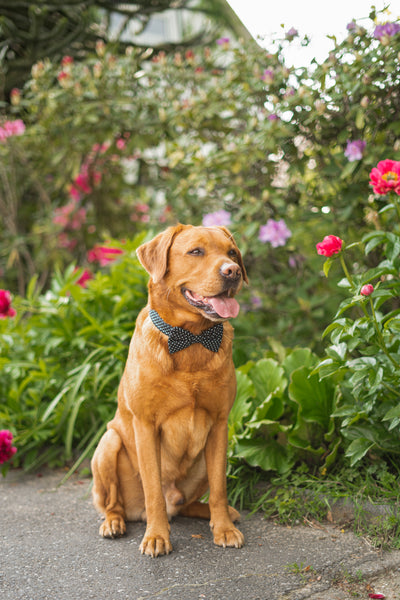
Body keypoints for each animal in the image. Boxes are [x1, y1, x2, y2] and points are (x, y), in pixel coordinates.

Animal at [91, 223, 247, 556]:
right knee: (114, 503)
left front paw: (224, 528)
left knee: (188, 503)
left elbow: (220, 487)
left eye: (232, 253)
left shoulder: (220, 425)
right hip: (108, 444)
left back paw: (221, 515)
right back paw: (114, 522)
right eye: (196, 251)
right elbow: (153, 491)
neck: (192, 340)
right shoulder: (146, 426)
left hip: (204, 459)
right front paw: (157, 536)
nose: (233, 272)